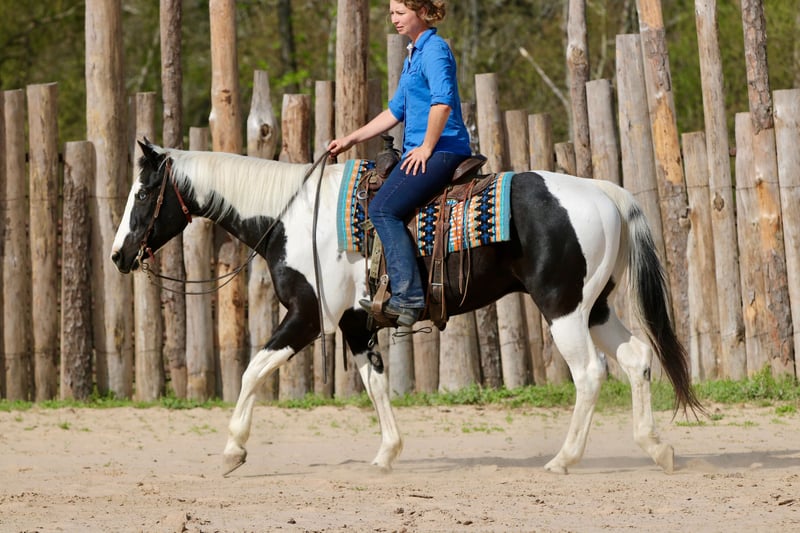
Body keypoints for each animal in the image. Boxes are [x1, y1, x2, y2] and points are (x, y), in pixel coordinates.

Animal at [111, 140, 701, 476]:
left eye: (141, 194)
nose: (118, 255)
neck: (292, 216)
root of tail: (605, 193)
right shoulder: (355, 322)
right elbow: (375, 383)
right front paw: (388, 453)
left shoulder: (308, 317)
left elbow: (254, 368)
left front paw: (234, 450)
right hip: (592, 306)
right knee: (636, 358)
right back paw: (657, 449)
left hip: (561, 308)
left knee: (591, 374)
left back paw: (564, 460)